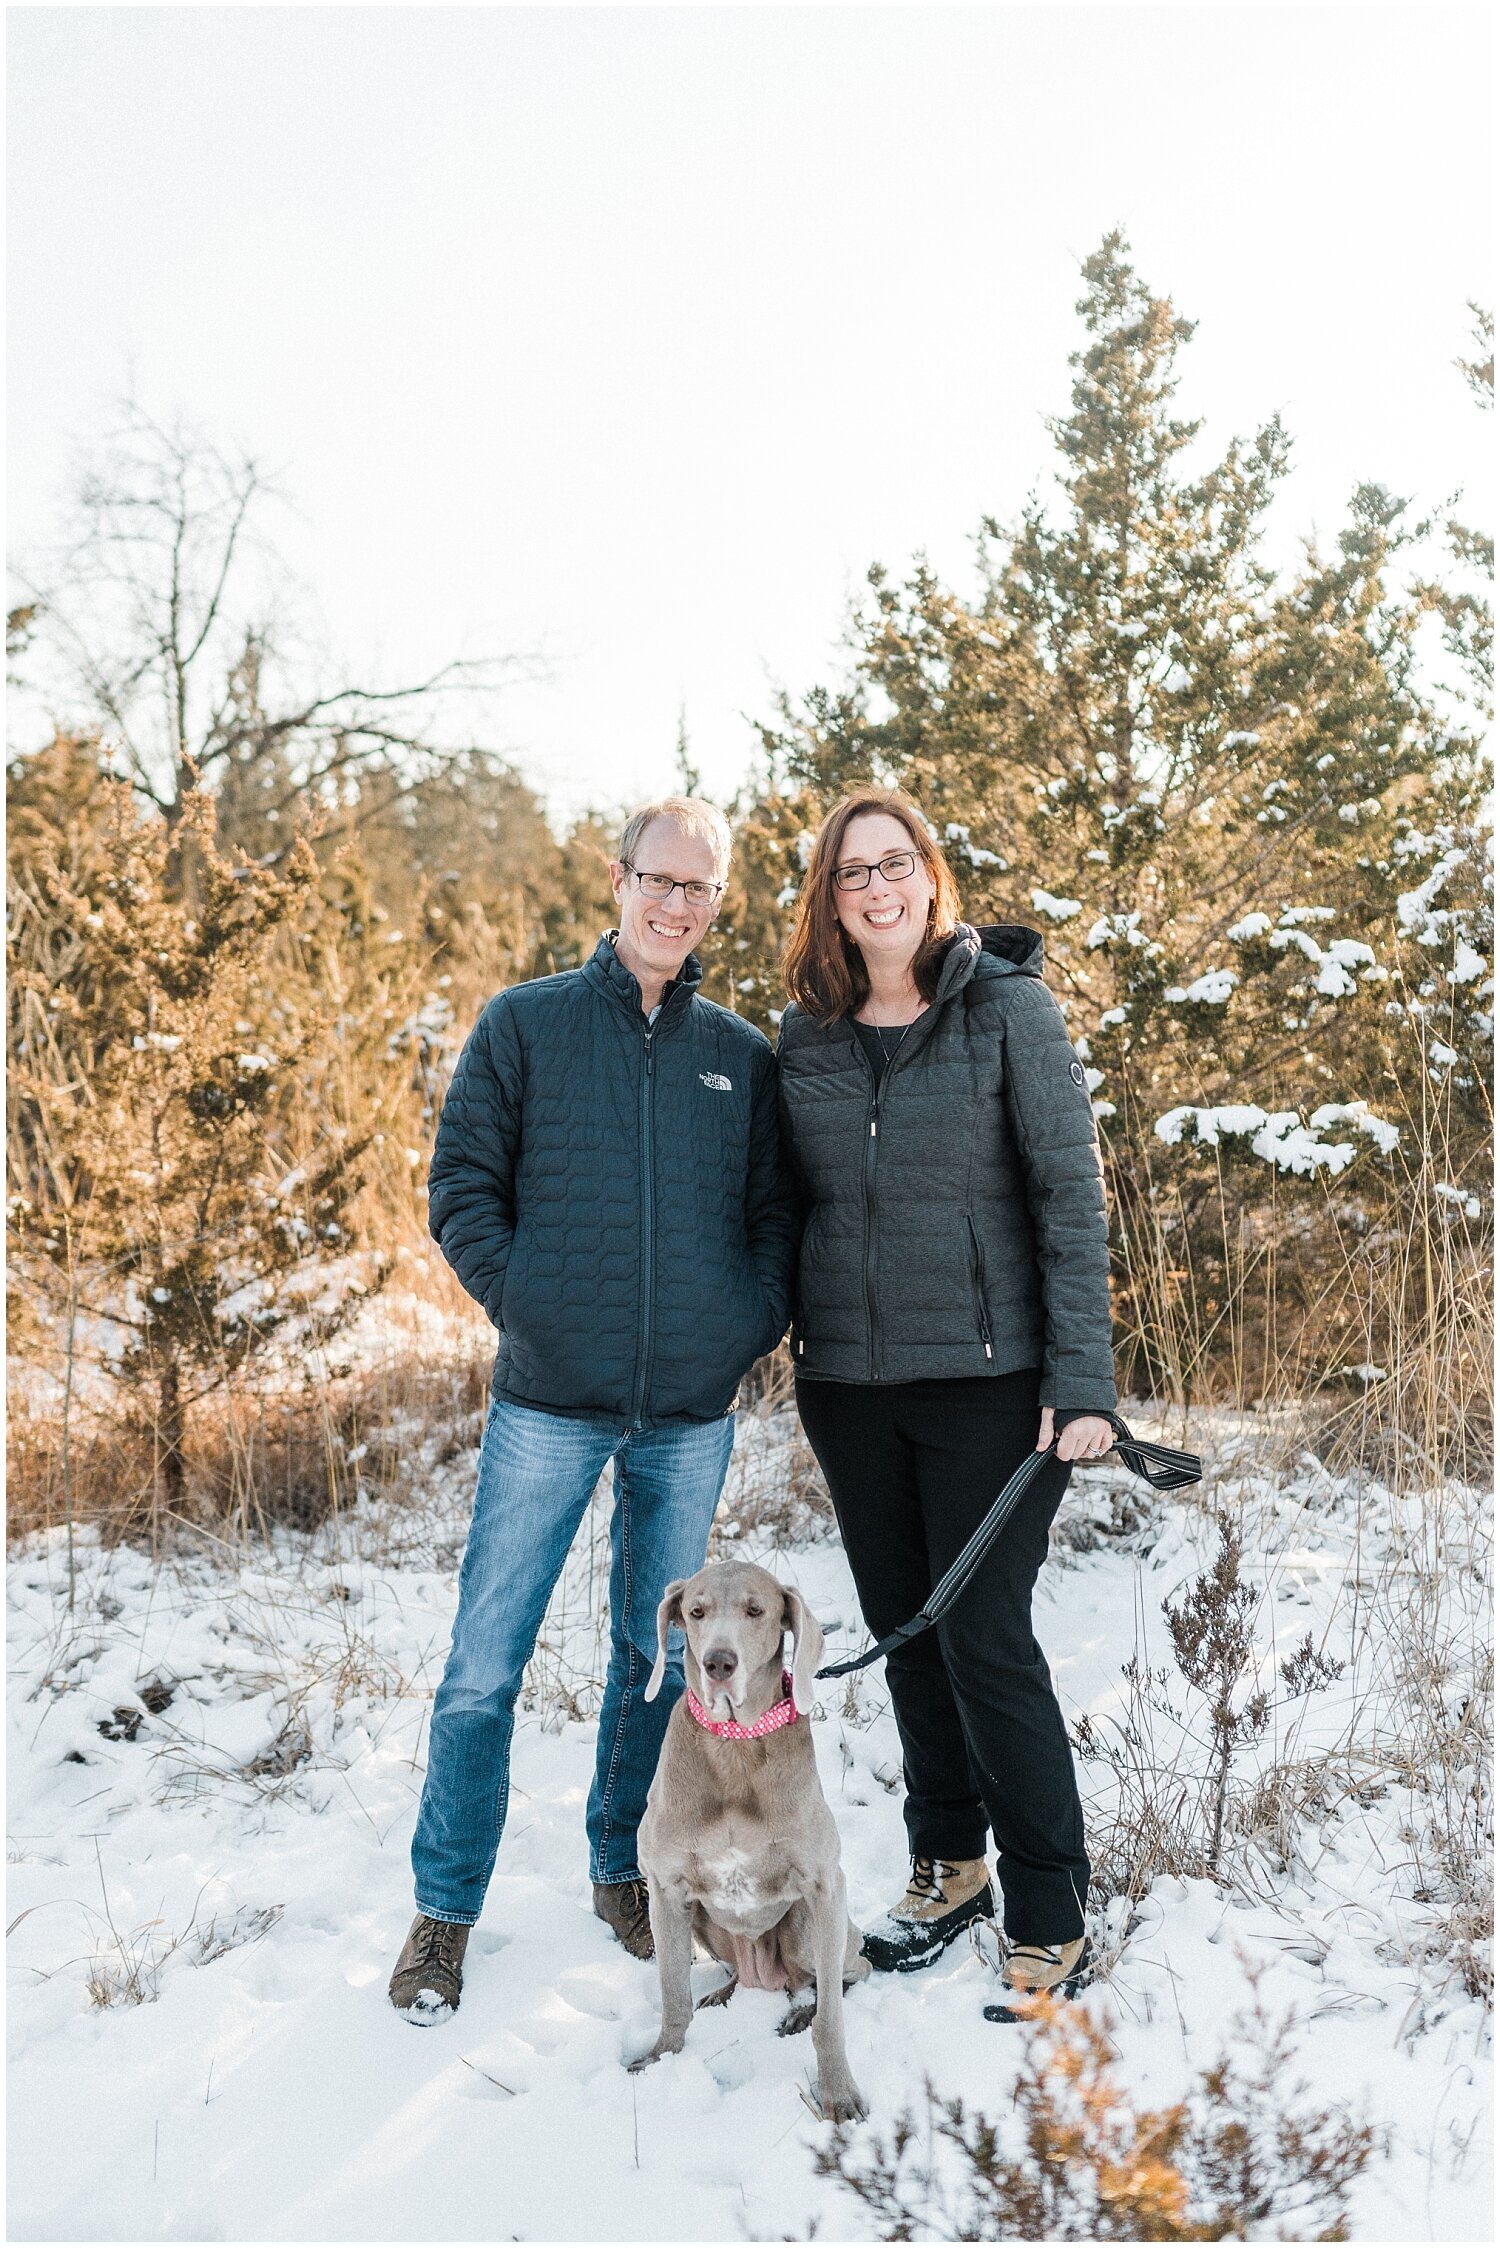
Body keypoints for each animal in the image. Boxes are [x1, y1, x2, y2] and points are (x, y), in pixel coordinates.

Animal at [629, 1555, 868, 2113]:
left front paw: (837, 2091)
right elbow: (672, 1993)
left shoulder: (825, 1886)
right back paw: (724, 1992)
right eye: (695, 1612)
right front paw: (660, 2058)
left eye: (756, 1611)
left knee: (849, 1972)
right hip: (704, 1924)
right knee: (742, 1976)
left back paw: (801, 2009)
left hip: (809, 1928)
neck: (735, 1745)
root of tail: (769, 1978)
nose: (718, 1662)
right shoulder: (666, 1890)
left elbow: (832, 2020)